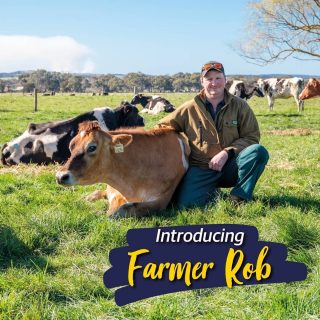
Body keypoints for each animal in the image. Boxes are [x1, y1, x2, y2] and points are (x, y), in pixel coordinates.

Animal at [55, 120, 190, 218]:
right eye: (71, 145)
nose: (60, 176)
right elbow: (95, 196)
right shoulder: (111, 190)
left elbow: (119, 211)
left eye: (92, 147)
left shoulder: (160, 201)